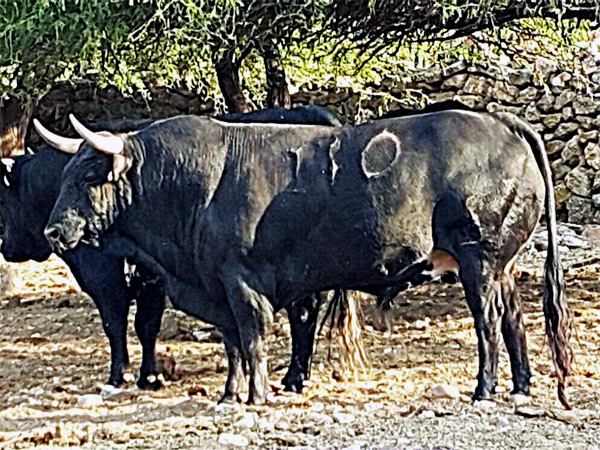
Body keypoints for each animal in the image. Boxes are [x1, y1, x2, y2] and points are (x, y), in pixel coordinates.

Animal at [7, 106, 353, 394]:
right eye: (66, 177)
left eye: (89, 176)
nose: (52, 232)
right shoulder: (154, 278)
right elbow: (146, 325)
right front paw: (148, 375)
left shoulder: (107, 279)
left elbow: (120, 324)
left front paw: (123, 376)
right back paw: (297, 376)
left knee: (303, 313)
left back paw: (294, 377)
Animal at [43, 108, 571, 407]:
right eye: (65, 173)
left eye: (89, 175)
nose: (53, 230)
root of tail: (500, 122)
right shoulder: (216, 285)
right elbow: (232, 344)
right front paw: (230, 394)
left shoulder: (242, 282)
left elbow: (253, 339)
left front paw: (255, 396)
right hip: (501, 265)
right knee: (514, 319)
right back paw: (521, 386)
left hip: (478, 260)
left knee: (488, 322)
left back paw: (484, 389)